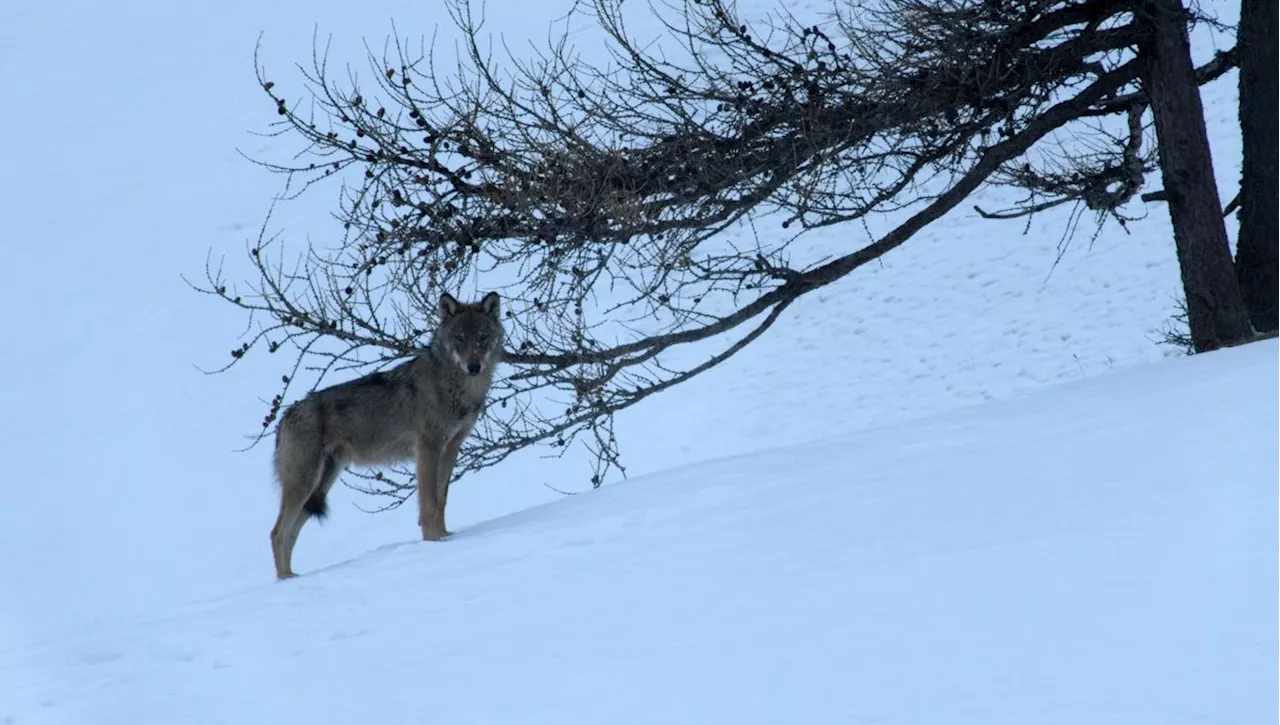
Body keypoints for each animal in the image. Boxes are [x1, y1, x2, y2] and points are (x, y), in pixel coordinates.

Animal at [267, 293, 501, 581]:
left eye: (482, 337)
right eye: (458, 338)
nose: (473, 366)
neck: (458, 387)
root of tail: (284, 418)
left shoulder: (451, 448)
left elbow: (442, 500)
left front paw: (446, 538)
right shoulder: (428, 449)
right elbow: (429, 504)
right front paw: (434, 543)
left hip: (320, 486)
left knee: (291, 534)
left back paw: (291, 578)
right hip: (305, 484)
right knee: (277, 533)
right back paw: (285, 580)